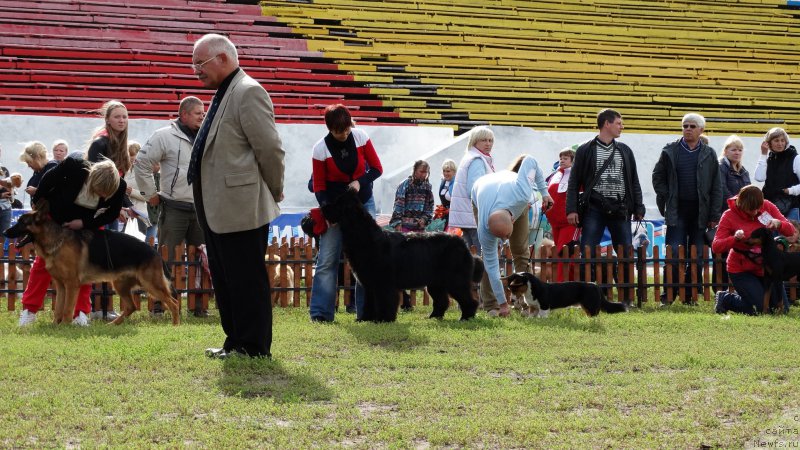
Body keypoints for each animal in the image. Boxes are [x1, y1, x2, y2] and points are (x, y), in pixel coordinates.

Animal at [4, 202, 180, 326]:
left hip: (150, 285)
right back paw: (112, 324)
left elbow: (67, 309)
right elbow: (58, 309)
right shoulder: (61, 286)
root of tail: (155, 252)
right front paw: (55, 325)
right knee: (131, 307)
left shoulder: (72, 285)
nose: (5, 232)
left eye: (22, 222)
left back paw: (175, 326)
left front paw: (65, 326)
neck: (56, 240)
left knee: (174, 303)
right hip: (120, 284)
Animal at [320, 190, 482, 324]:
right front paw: (365, 319)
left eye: (337, 203)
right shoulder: (370, 283)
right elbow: (369, 303)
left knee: (469, 300)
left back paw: (465, 317)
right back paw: (433, 317)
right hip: (436, 282)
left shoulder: (384, 282)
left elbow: (385, 301)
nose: (322, 207)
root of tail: (463, 244)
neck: (365, 236)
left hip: (455, 280)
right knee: (442, 301)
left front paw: (384, 319)